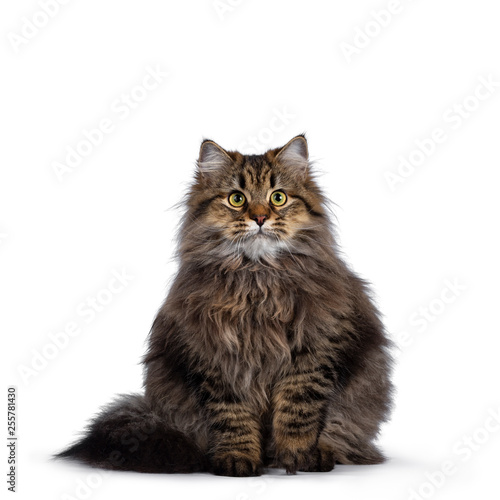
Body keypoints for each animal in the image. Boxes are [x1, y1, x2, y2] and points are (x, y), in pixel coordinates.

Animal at [56, 135, 394, 474]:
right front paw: (237, 458)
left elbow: (297, 413)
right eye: (236, 199)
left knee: (341, 433)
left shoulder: (313, 351)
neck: (257, 278)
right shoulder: (215, 355)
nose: (260, 218)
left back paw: (321, 455)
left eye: (278, 198)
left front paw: (298, 456)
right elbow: (233, 418)